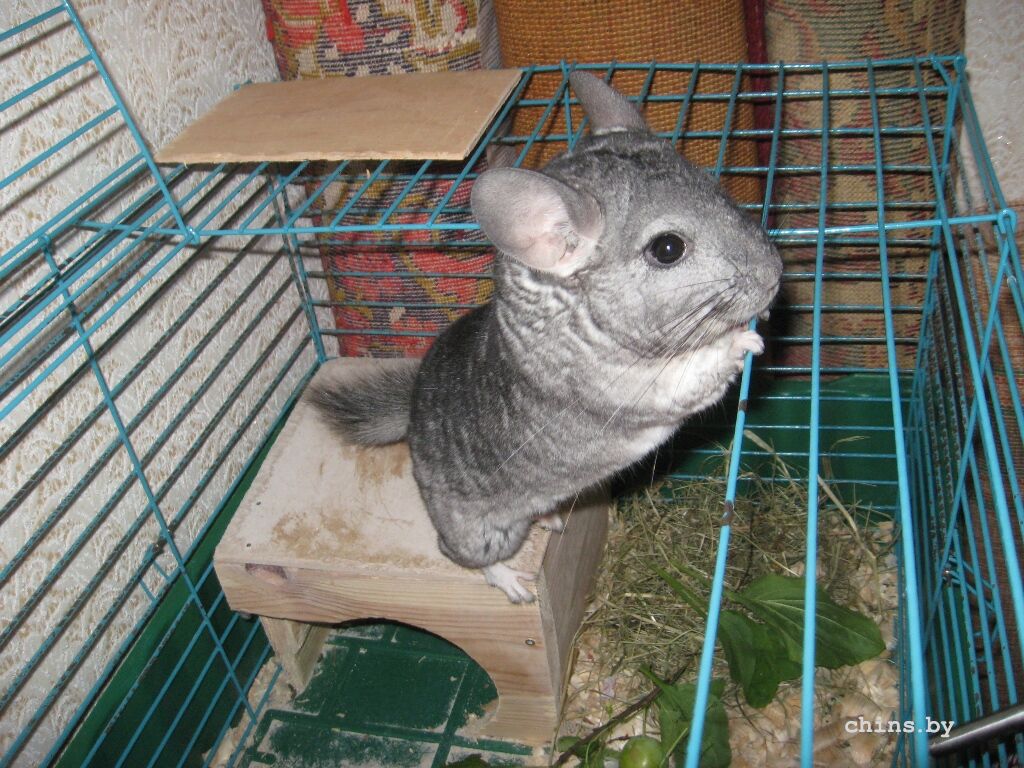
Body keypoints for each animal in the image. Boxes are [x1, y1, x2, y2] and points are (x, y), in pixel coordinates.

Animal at [307, 71, 783, 603]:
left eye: (716, 188)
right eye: (667, 248)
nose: (776, 276)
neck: (579, 322)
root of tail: (410, 413)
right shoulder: (634, 387)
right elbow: (698, 369)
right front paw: (745, 341)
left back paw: (553, 517)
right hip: (484, 530)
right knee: (458, 554)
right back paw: (514, 585)